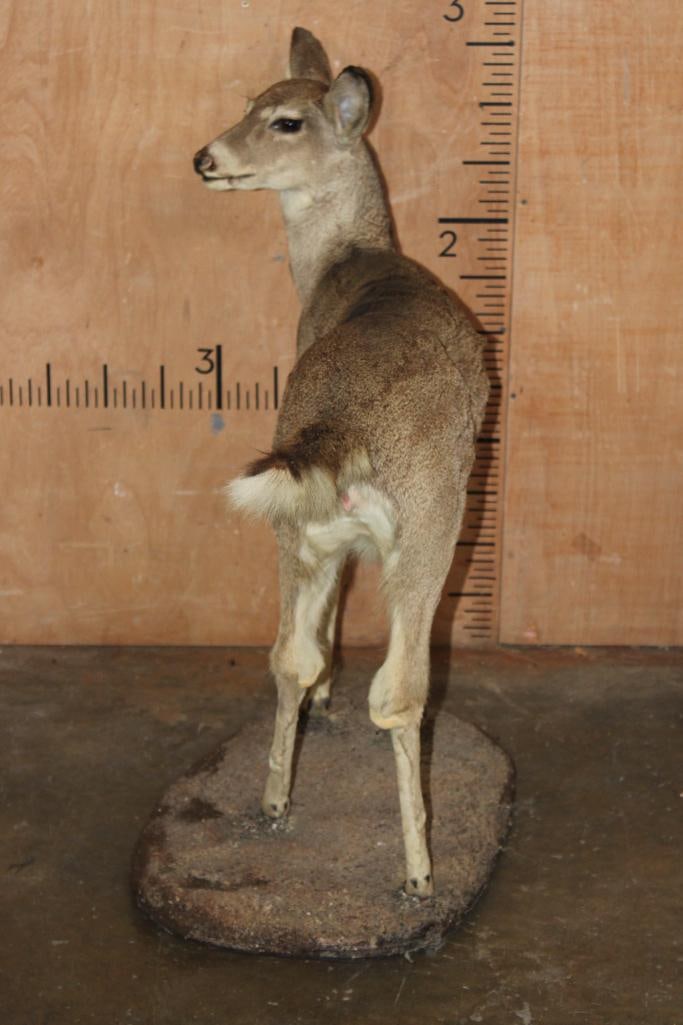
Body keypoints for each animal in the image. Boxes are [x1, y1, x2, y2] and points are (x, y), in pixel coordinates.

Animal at [193, 28, 489, 899]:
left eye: (283, 118)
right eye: (248, 102)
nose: (205, 157)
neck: (345, 264)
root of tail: (338, 426)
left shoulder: (324, 533)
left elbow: (315, 634)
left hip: (296, 525)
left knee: (287, 654)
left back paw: (272, 803)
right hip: (432, 525)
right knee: (399, 691)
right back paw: (418, 872)